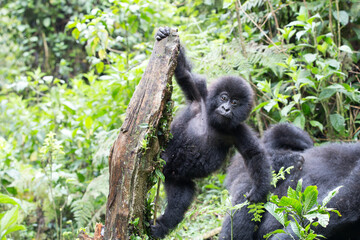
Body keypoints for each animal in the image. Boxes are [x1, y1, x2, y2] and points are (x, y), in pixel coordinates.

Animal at [152, 26, 270, 238]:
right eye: (223, 97)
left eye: (234, 102)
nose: (226, 109)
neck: (214, 122)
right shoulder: (200, 97)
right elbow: (185, 74)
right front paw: (164, 34)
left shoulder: (237, 130)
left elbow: (254, 153)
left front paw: (259, 189)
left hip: (176, 177)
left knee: (180, 201)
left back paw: (161, 226)